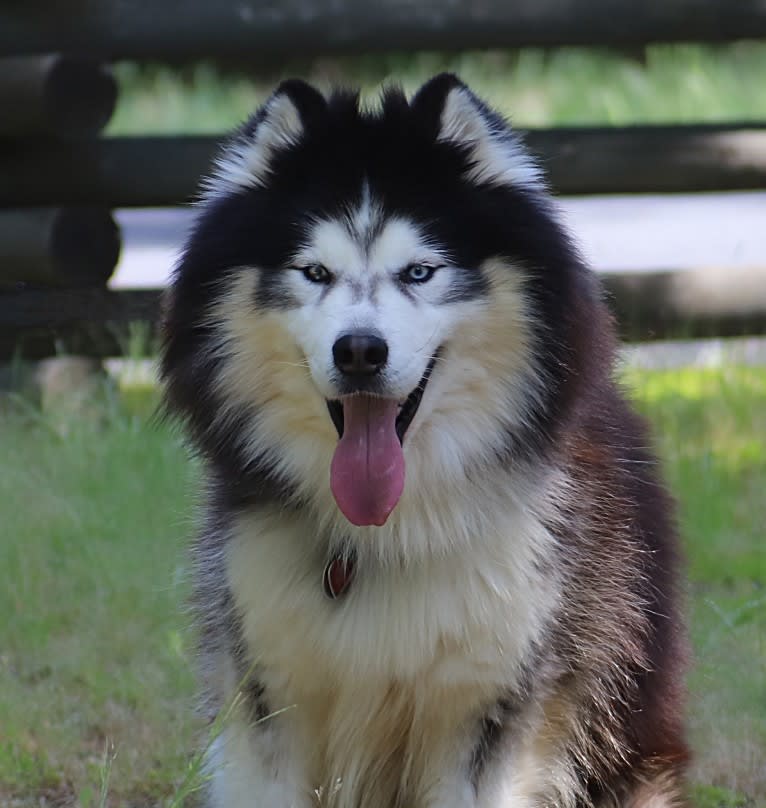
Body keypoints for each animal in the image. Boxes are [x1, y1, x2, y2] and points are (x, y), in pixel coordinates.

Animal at [162, 72, 688, 804]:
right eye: (315, 273)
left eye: (419, 271)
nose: (359, 351)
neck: (387, 533)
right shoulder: (270, 688)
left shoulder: (490, 699)